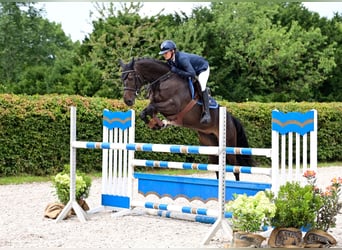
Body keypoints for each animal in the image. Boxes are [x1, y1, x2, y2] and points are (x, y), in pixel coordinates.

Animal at [119, 57, 252, 181]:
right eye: (122, 79)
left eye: (130, 78)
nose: (127, 101)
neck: (163, 80)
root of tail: (231, 118)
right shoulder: (157, 105)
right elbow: (146, 111)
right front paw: (156, 124)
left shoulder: (173, 106)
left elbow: (152, 107)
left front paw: (158, 124)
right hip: (210, 144)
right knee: (217, 169)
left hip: (228, 143)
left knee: (235, 168)